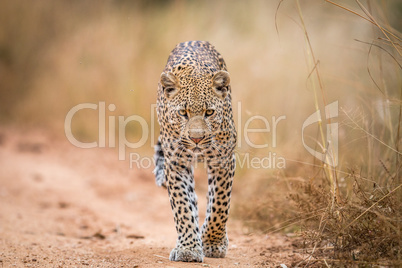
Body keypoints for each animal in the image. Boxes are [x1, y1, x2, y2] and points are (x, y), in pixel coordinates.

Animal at [153, 40, 236, 262]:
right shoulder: (176, 163)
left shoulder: (223, 160)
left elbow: (219, 204)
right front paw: (188, 248)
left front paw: (213, 243)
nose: (196, 138)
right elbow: (182, 205)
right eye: (183, 113)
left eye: (209, 112)